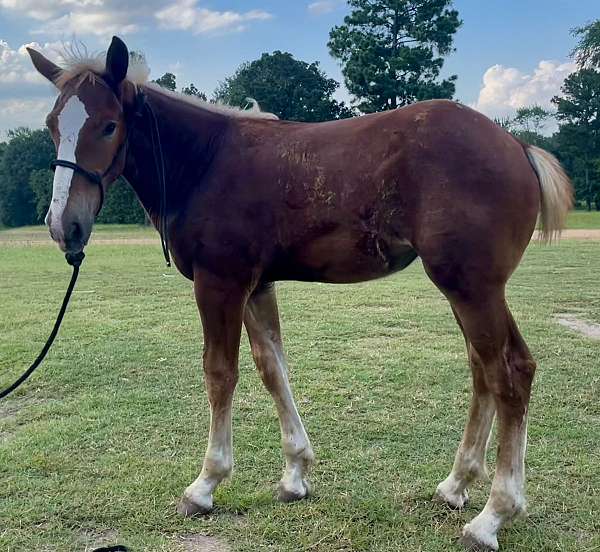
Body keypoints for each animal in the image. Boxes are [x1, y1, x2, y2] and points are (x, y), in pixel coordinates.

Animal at [28, 36, 572, 548]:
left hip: (472, 288)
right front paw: (294, 474)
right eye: (53, 124)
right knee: (488, 370)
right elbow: (272, 368)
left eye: (108, 126)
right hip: (471, 290)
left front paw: (205, 485)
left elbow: (220, 374)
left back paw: (493, 515)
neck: (205, 161)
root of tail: (517, 146)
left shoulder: (219, 282)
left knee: (508, 374)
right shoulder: (256, 285)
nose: (63, 227)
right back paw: (455, 486)